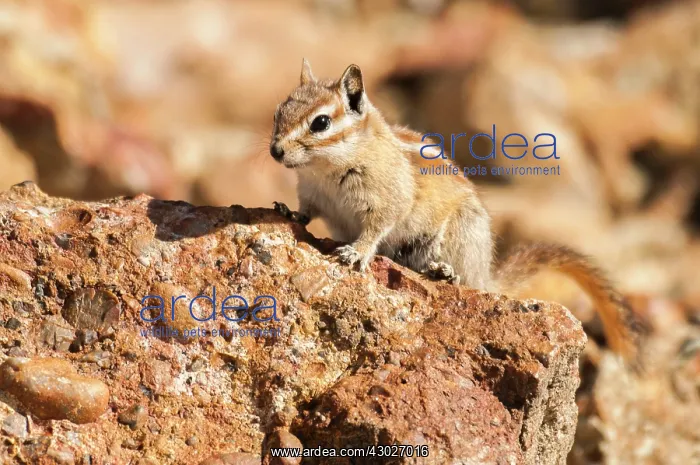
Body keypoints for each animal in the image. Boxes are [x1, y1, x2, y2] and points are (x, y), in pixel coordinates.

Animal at [269, 58, 646, 364]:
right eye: (278, 112)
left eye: (320, 123)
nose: (275, 151)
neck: (327, 170)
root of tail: (486, 273)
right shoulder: (313, 194)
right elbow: (307, 211)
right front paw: (289, 213)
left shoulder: (388, 200)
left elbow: (376, 227)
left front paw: (355, 252)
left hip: (460, 234)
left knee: (467, 282)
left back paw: (445, 273)